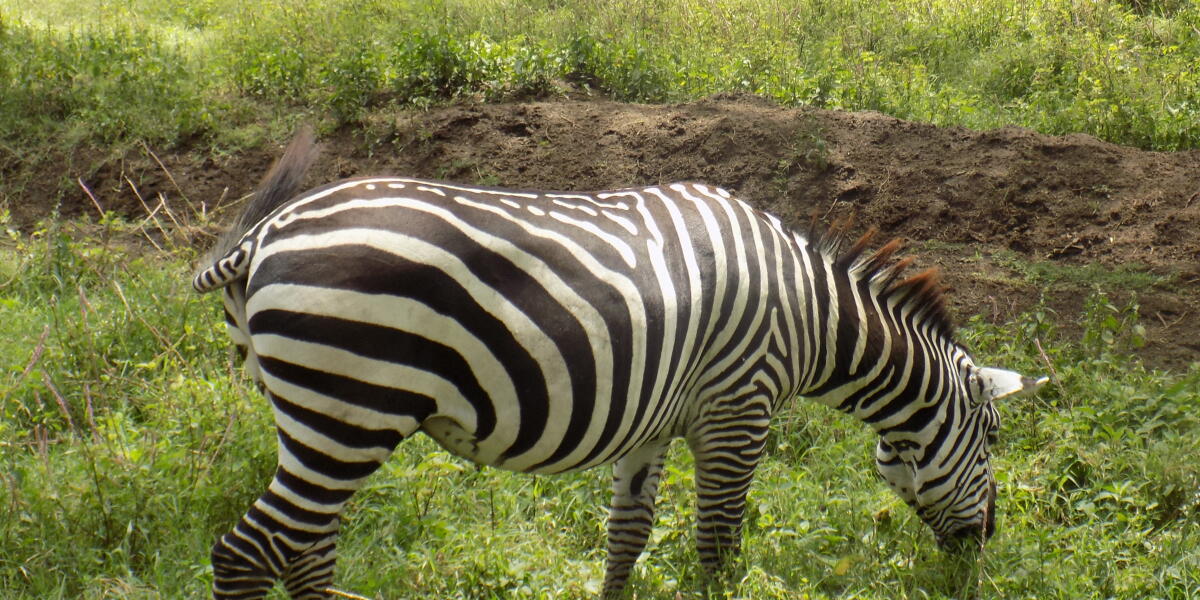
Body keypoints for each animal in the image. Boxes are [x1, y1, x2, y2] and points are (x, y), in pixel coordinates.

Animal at [194, 128, 1047, 599]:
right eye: (994, 440)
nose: (983, 547)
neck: (811, 318)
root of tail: (262, 237)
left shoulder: (657, 419)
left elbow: (627, 534)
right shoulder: (739, 411)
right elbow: (717, 548)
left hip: (319, 418)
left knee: (305, 550)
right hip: (350, 407)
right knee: (248, 554)